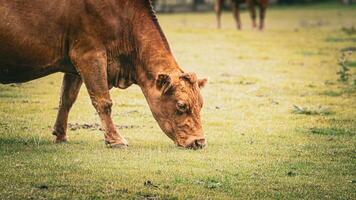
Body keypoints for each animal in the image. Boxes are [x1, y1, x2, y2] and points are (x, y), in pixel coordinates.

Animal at [0, 0, 207, 149]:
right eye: (181, 105)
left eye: (201, 104)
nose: (199, 142)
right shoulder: (90, 55)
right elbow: (103, 101)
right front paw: (115, 139)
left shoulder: (74, 64)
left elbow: (66, 99)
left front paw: (60, 135)